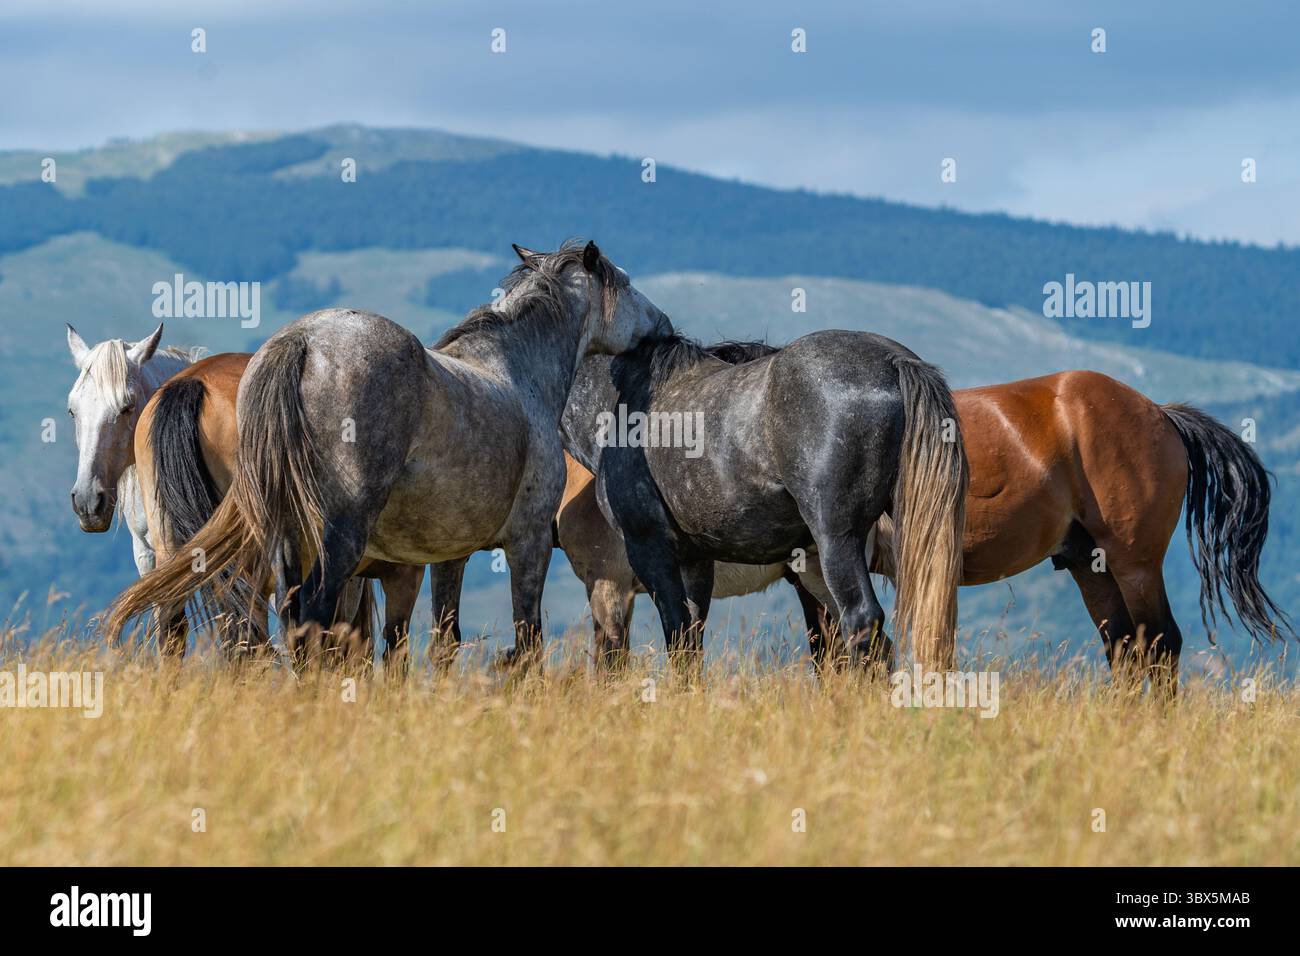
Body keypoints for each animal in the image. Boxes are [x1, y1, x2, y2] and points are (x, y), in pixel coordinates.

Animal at [561, 329, 969, 674]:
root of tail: (895, 361)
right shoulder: (694, 558)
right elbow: (691, 638)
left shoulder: (639, 558)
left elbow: (661, 640)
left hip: (837, 542)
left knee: (862, 624)